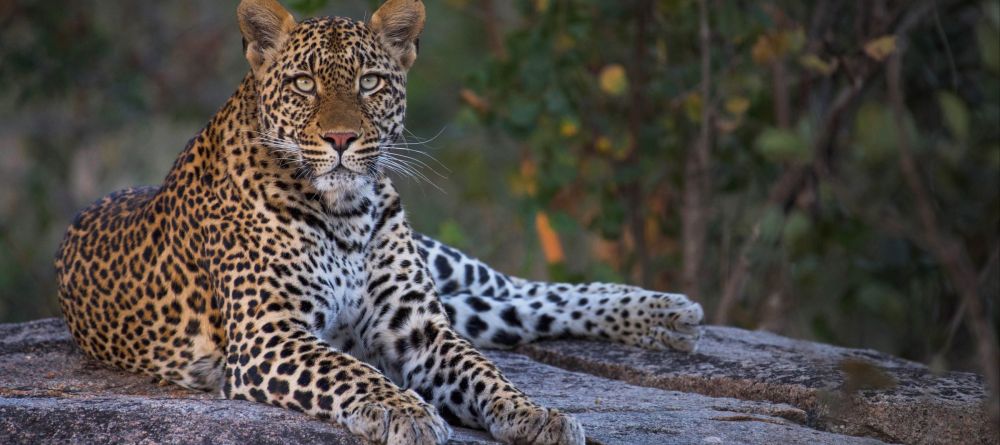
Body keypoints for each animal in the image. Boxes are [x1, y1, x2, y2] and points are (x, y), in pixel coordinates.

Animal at [54, 1, 704, 442]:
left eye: (370, 82)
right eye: (303, 84)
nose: (341, 139)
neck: (343, 211)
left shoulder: (419, 327)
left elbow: (483, 371)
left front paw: (533, 413)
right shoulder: (269, 335)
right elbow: (349, 371)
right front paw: (406, 411)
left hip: (445, 267)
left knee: (528, 292)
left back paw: (667, 313)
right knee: (513, 313)